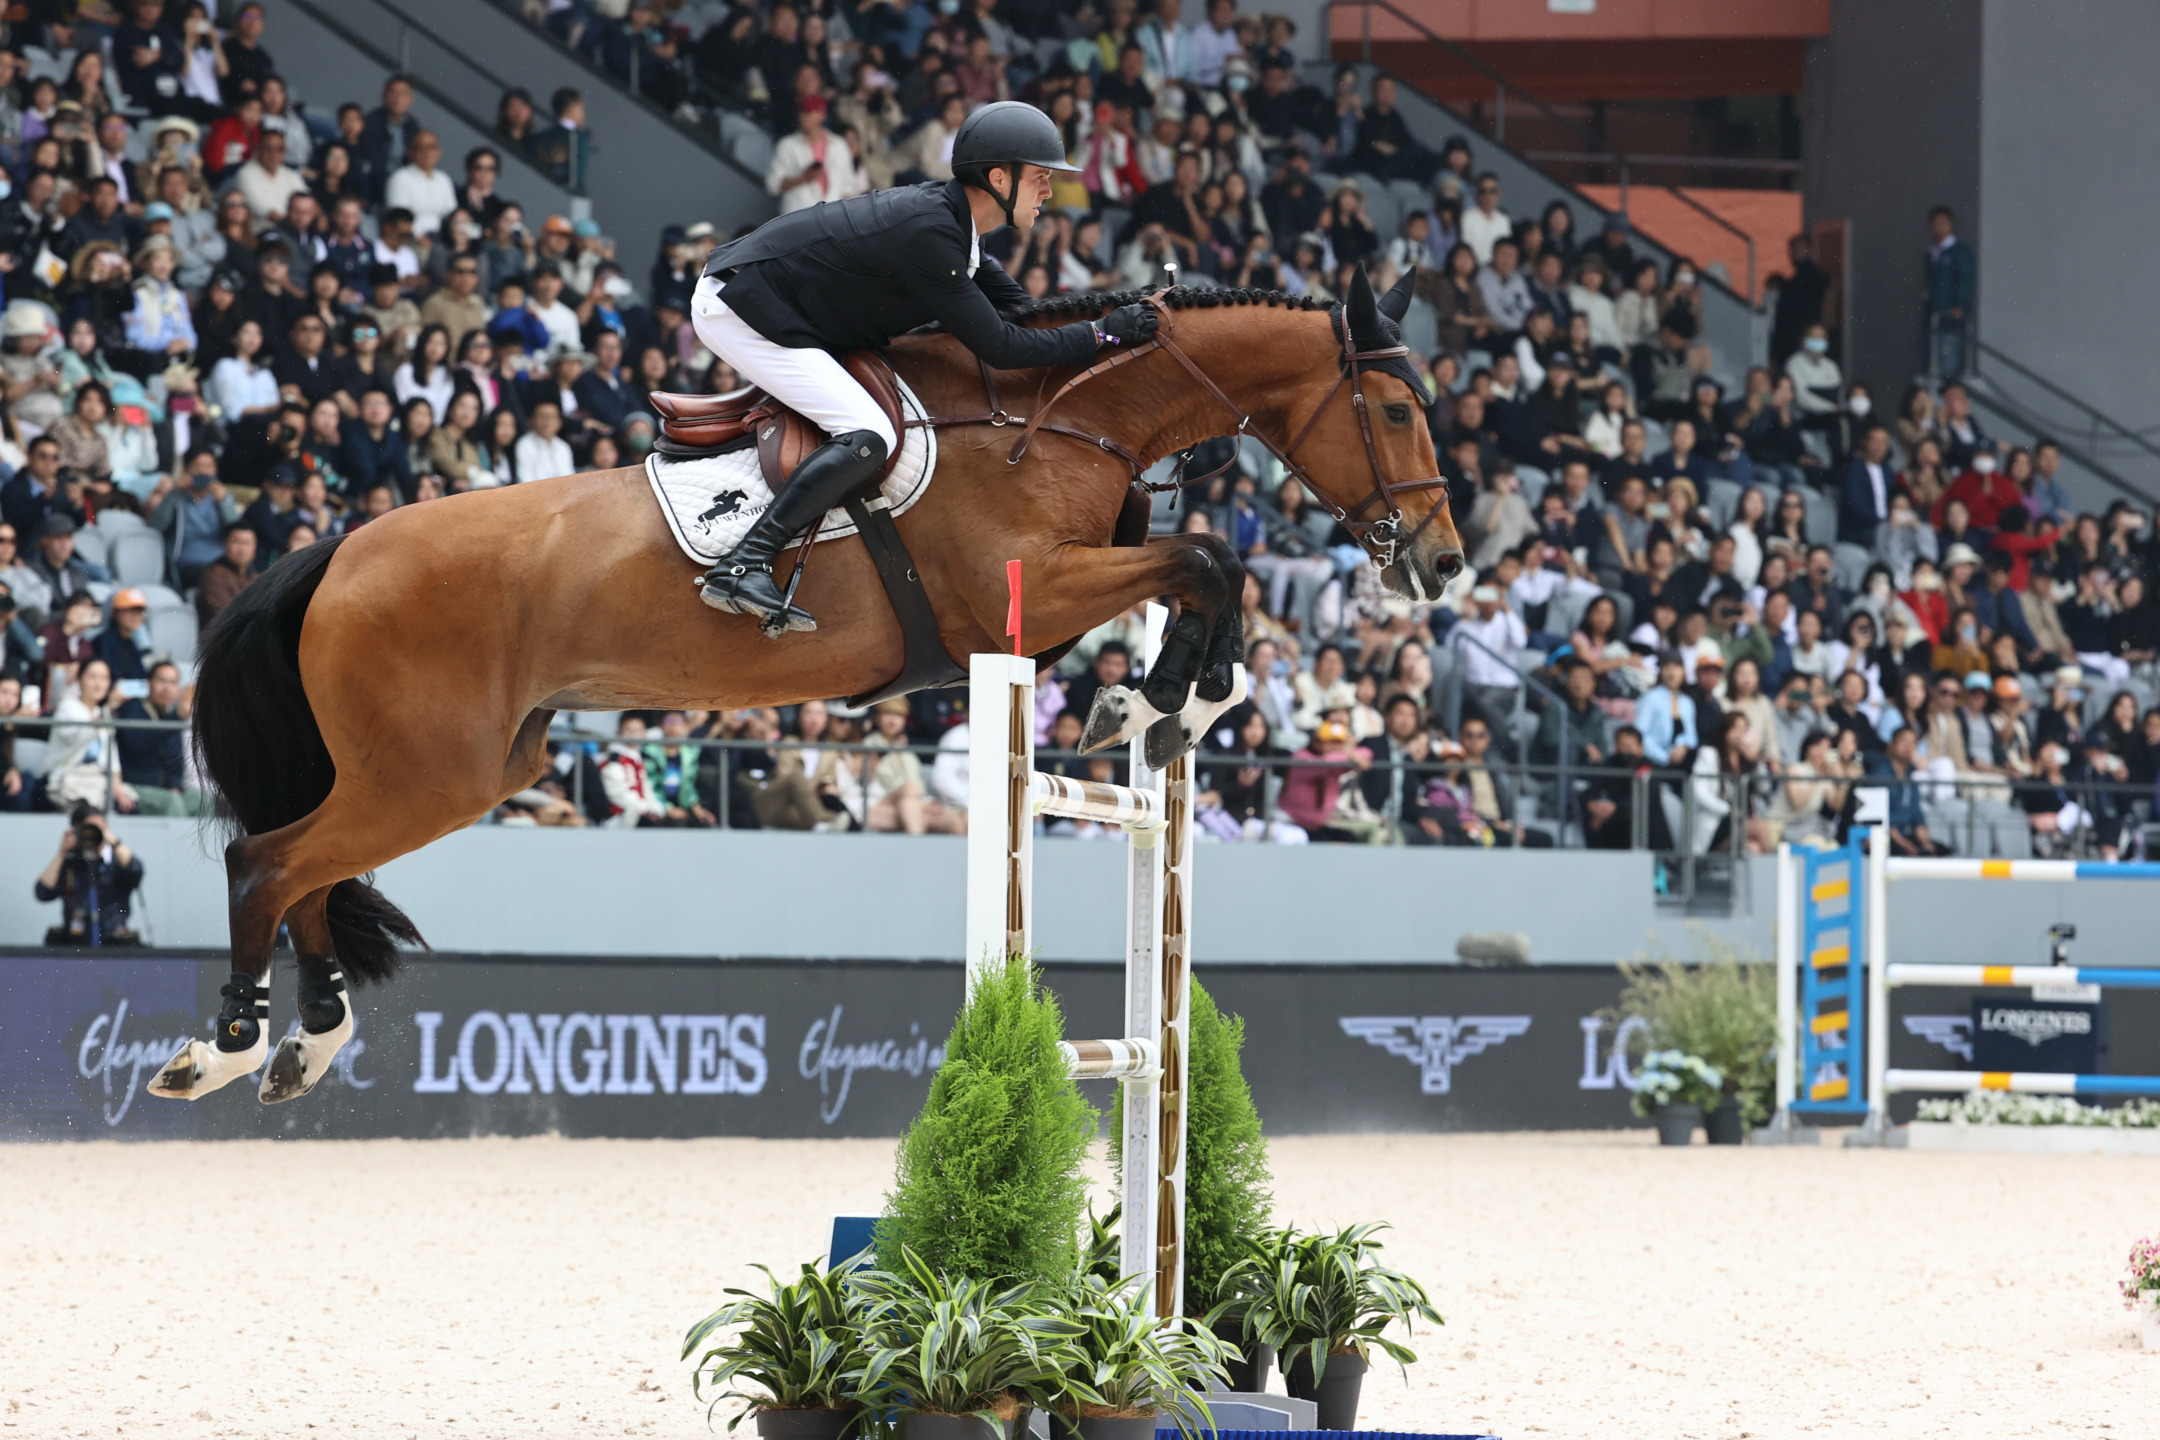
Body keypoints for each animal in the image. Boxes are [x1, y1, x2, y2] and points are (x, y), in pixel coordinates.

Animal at [147, 267, 1468, 1105]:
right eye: (1400, 407)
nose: (1445, 563)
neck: (1053, 419)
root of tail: (334, 553)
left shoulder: (1053, 603)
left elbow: (1200, 569)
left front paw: (1163, 699)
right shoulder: (1025, 592)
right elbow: (1209, 559)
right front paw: (1160, 703)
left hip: (462, 769)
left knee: (307, 871)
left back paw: (309, 1044)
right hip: (433, 770)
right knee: (268, 861)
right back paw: (226, 1047)